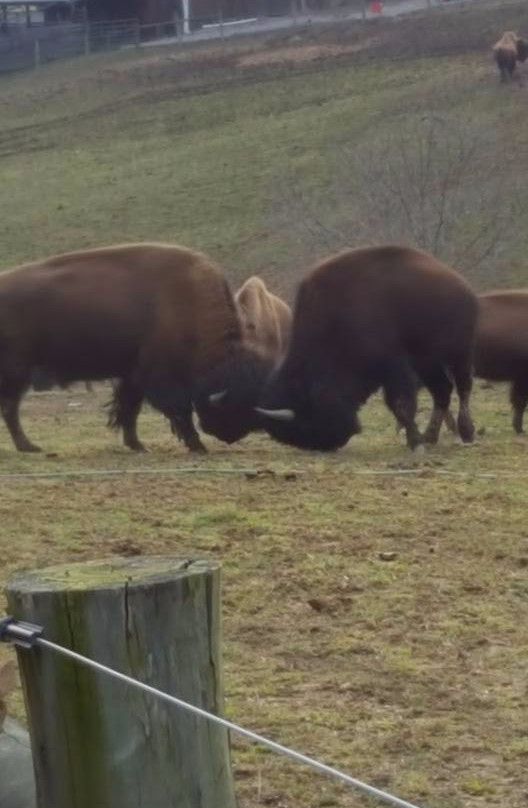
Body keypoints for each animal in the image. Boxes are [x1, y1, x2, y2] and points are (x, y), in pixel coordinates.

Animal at [0, 243, 271, 453]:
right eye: (234, 402)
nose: (231, 435)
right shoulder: (161, 379)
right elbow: (178, 412)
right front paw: (197, 445)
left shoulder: (133, 376)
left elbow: (130, 410)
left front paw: (137, 444)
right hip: (16, 373)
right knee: (11, 409)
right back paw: (29, 446)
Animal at [253, 246, 477, 451]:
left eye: (304, 425)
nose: (331, 443)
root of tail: (463, 287)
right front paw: (418, 440)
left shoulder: (393, 366)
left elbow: (401, 404)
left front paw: (415, 443)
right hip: (427, 362)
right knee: (442, 392)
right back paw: (431, 437)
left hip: (459, 353)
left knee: (463, 388)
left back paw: (466, 432)